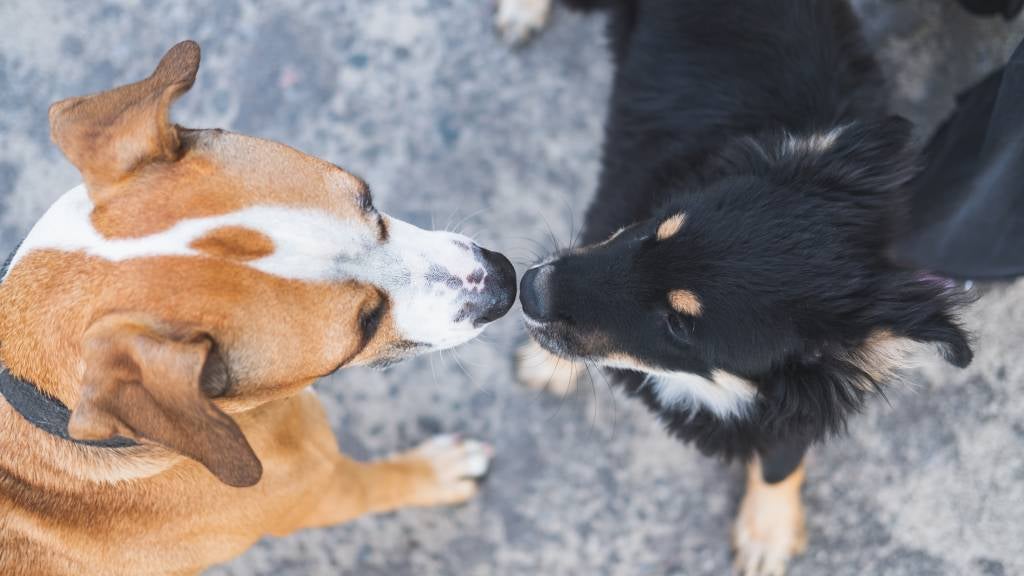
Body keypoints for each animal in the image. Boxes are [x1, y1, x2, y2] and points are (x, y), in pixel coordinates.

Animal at [0, 41, 516, 573]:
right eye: (365, 325)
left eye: (368, 200)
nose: (505, 280)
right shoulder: (325, 489)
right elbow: (383, 484)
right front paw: (439, 471)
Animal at [516, 2, 970, 569]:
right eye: (653, 231)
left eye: (679, 325)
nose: (528, 289)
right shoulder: (613, 209)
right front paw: (545, 364)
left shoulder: (797, 399)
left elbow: (779, 459)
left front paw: (766, 531)